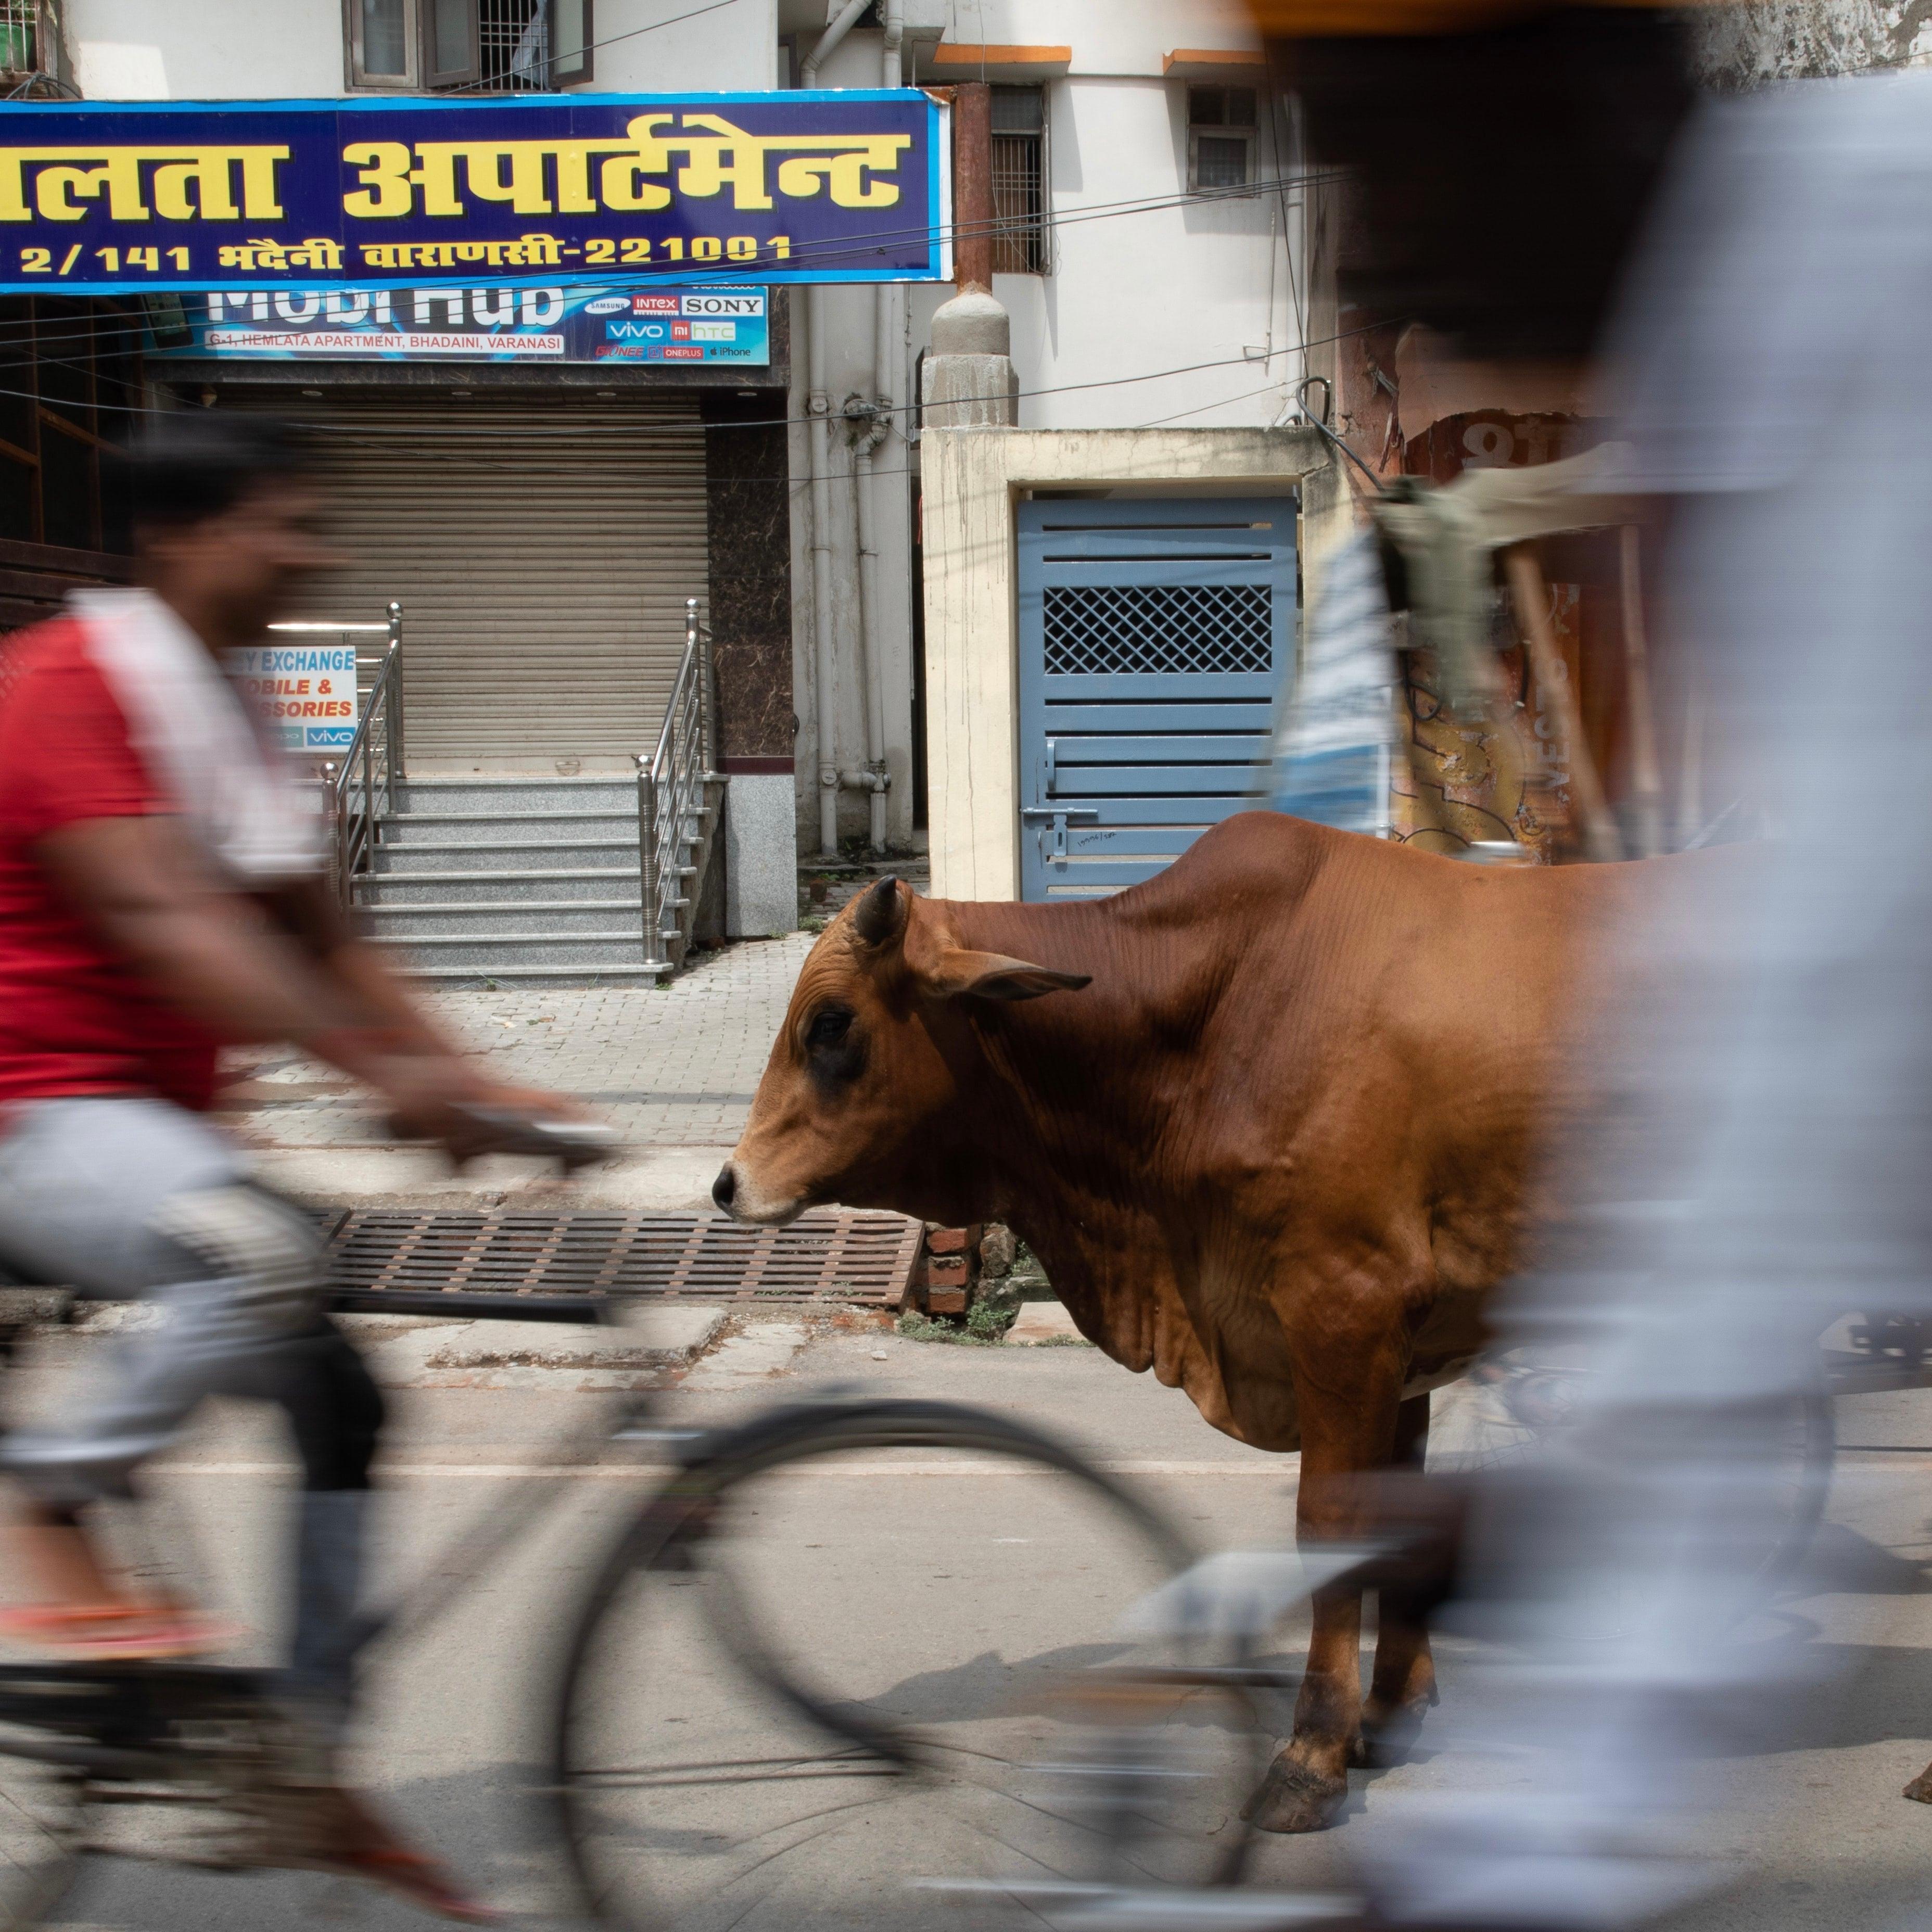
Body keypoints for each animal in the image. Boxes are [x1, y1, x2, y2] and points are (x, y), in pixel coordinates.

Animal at [711, 807, 1646, 1831]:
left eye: (832, 1023)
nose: (728, 1183)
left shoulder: (1347, 1309)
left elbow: (1333, 1526)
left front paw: (1312, 1754)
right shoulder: (1406, 1347)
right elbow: (1400, 1521)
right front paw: (1388, 1718)